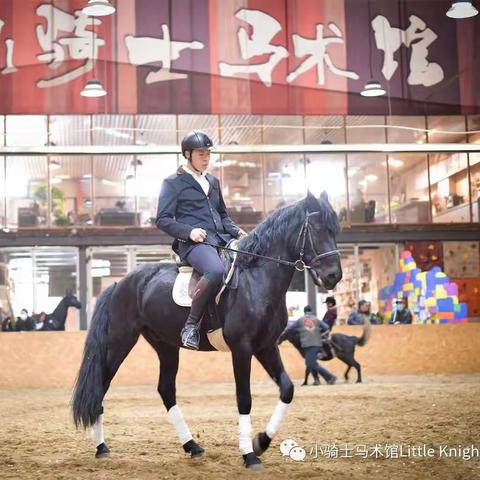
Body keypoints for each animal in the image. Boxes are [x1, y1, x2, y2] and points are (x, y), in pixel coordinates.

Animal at [73, 191, 342, 468]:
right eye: (317, 229)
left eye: (336, 230)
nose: (334, 276)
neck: (255, 281)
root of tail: (119, 283)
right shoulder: (242, 348)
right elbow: (244, 397)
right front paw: (249, 455)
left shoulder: (266, 346)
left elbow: (287, 389)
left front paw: (261, 442)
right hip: (120, 341)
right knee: (101, 386)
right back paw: (101, 447)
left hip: (165, 345)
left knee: (166, 390)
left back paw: (192, 446)